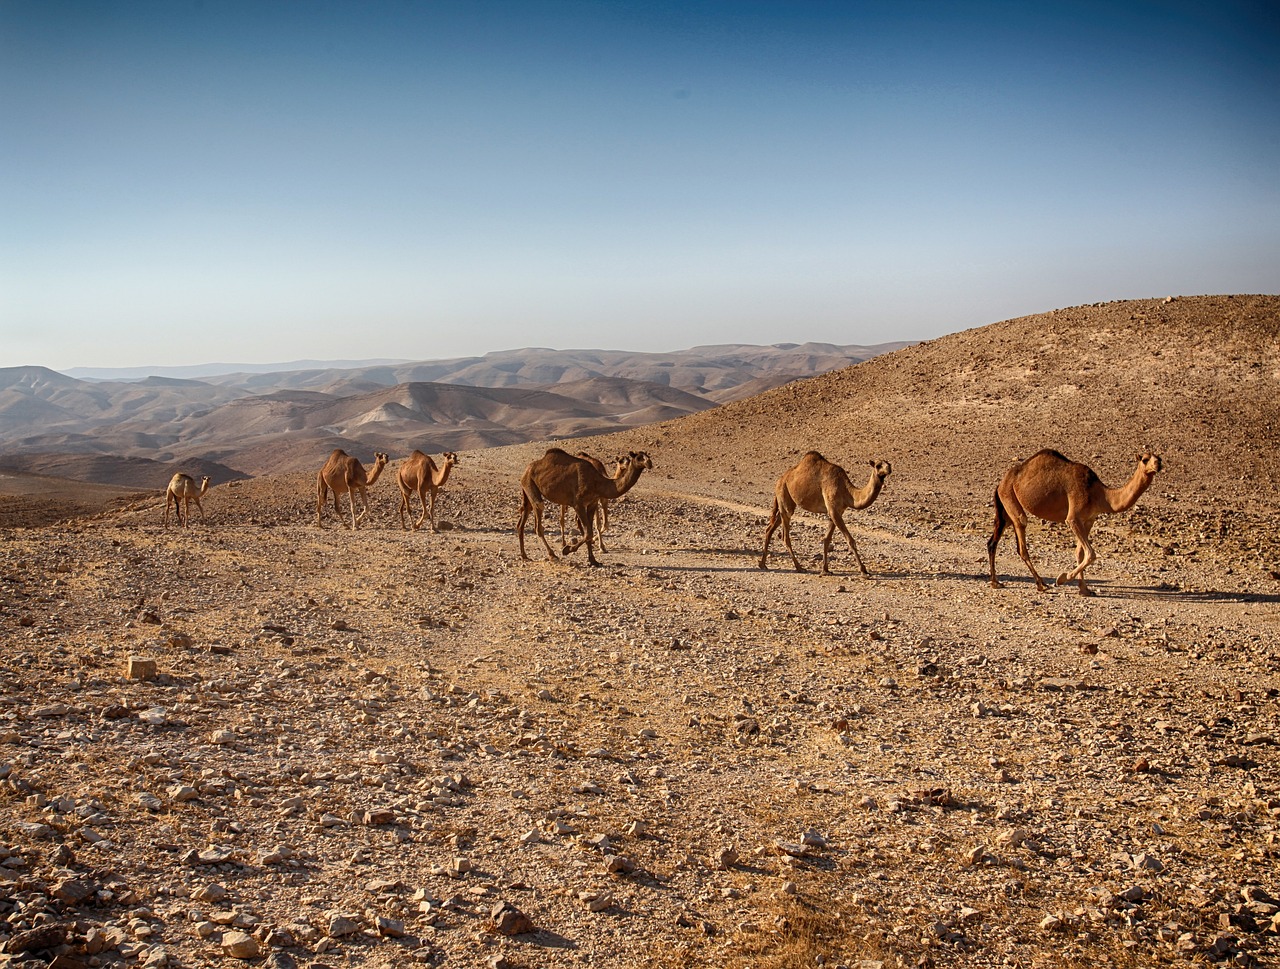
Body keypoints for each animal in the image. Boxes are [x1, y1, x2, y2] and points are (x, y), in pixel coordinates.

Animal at [517, 448, 655, 565]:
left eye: (648, 456)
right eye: (639, 457)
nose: (649, 463)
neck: (598, 482)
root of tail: (525, 470)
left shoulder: (592, 503)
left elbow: (590, 530)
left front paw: (593, 560)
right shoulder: (578, 504)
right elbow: (588, 532)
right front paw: (567, 549)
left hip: (527, 488)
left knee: (523, 517)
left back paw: (524, 555)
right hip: (530, 483)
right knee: (539, 517)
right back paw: (552, 555)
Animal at [757, 450, 890, 573]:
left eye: (889, 463)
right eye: (878, 465)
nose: (889, 469)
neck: (847, 491)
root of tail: (780, 479)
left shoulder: (837, 511)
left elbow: (827, 539)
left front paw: (825, 569)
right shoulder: (833, 509)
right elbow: (850, 540)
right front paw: (864, 571)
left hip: (786, 502)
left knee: (770, 528)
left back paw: (763, 564)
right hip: (784, 494)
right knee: (785, 536)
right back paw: (799, 567)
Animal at [983, 448, 1167, 596]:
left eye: (1159, 458)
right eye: (1145, 459)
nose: (1158, 465)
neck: (1099, 494)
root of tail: (1000, 483)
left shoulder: (1089, 519)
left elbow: (1080, 553)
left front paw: (1084, 589)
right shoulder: (1073, 518)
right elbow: (1091, 554)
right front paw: (1062, 578)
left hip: (1005, 507)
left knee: (993, 541)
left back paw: (995, 582)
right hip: (1010, 497)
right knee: (1021, 536)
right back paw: (1041, 584)